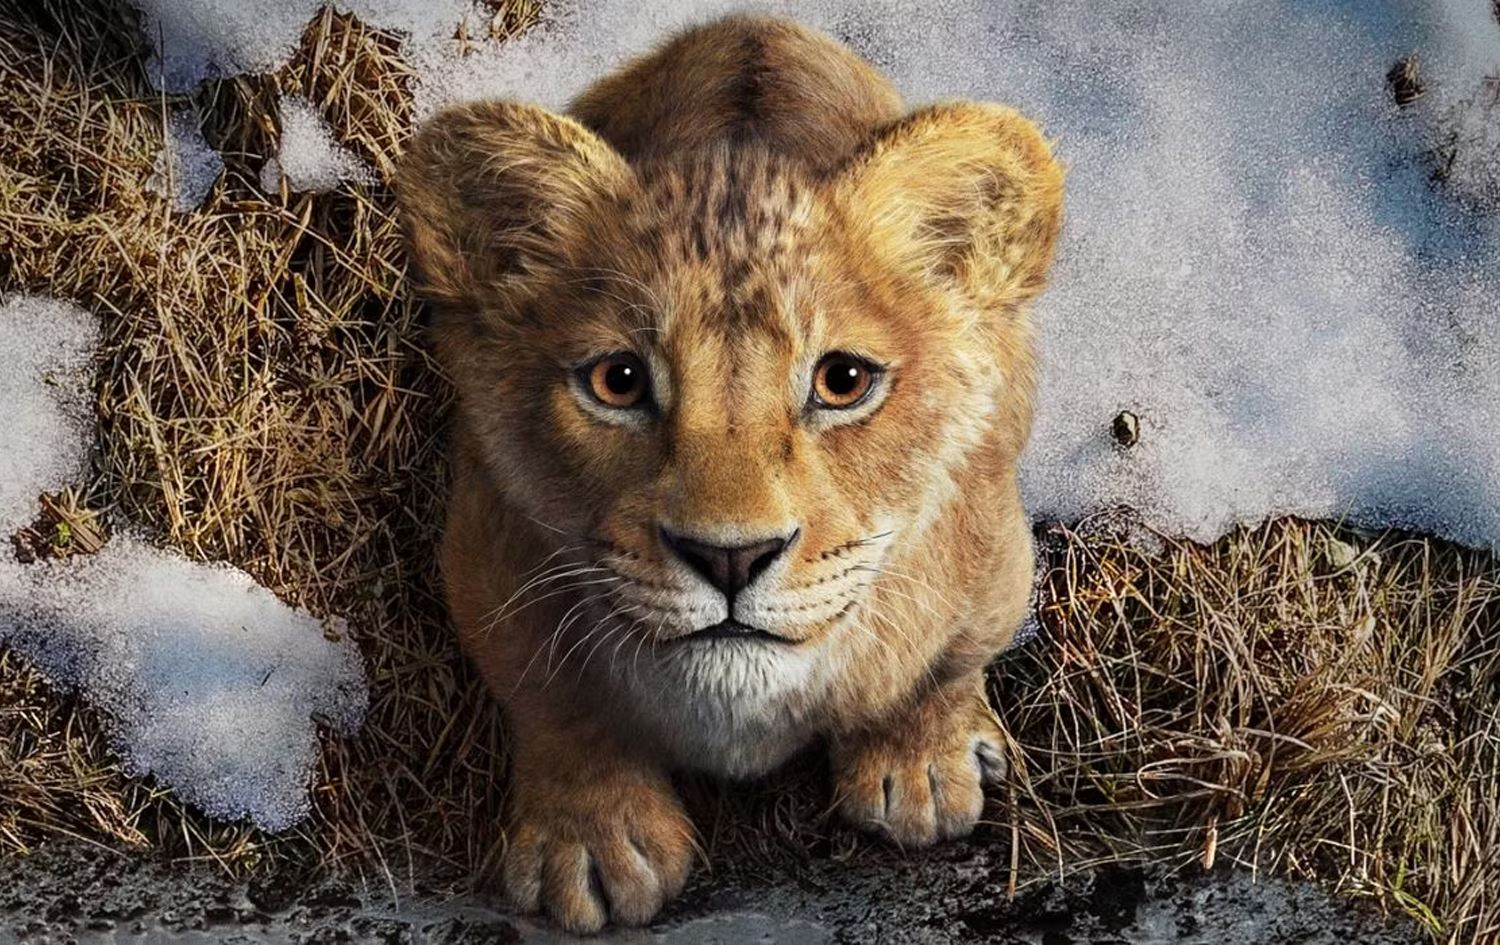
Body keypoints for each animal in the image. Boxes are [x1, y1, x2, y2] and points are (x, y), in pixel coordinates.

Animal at [398, 14, 1063, 933]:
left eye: (843, 380)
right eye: (618, 380)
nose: (730, 558)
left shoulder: (993, 551)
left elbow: (943, 663)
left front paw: (921, 767)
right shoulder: (485, 551)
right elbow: (553, 701)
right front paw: (591, 840)